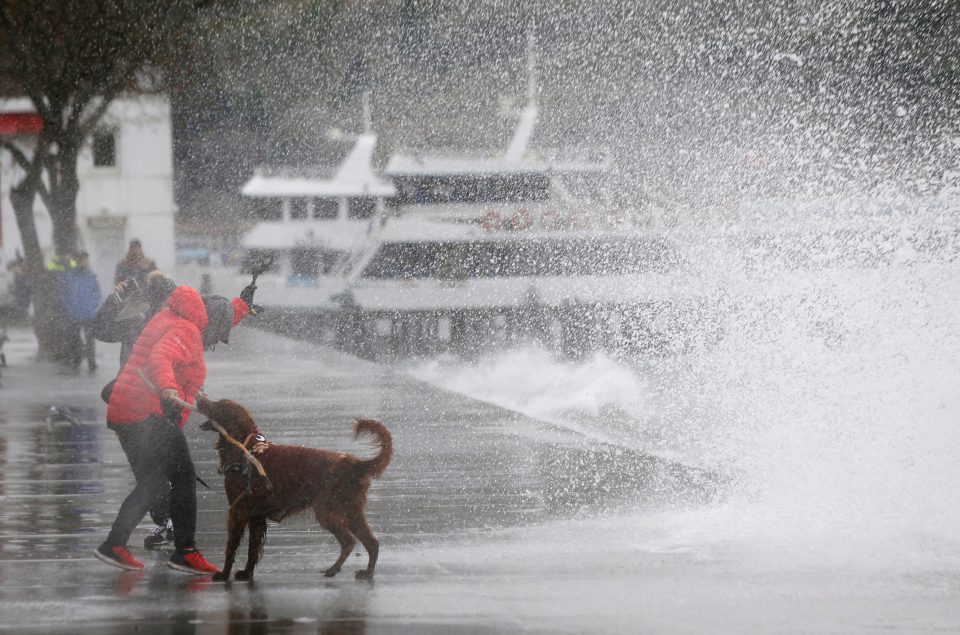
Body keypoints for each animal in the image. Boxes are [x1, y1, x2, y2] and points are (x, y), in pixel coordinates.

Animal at [197, 398, 392, 580]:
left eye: (217, 405)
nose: (199, 398)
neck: (244, 447)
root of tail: (354, 464)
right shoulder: (256, 516)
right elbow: (253, 550)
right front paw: (247, 573)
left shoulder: (238, 510)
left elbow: (231, 547)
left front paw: (224, 574)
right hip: (352, 511)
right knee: (372, 542)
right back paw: (367, 572)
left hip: (327, 511)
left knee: (349, 541)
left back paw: (333, 569)